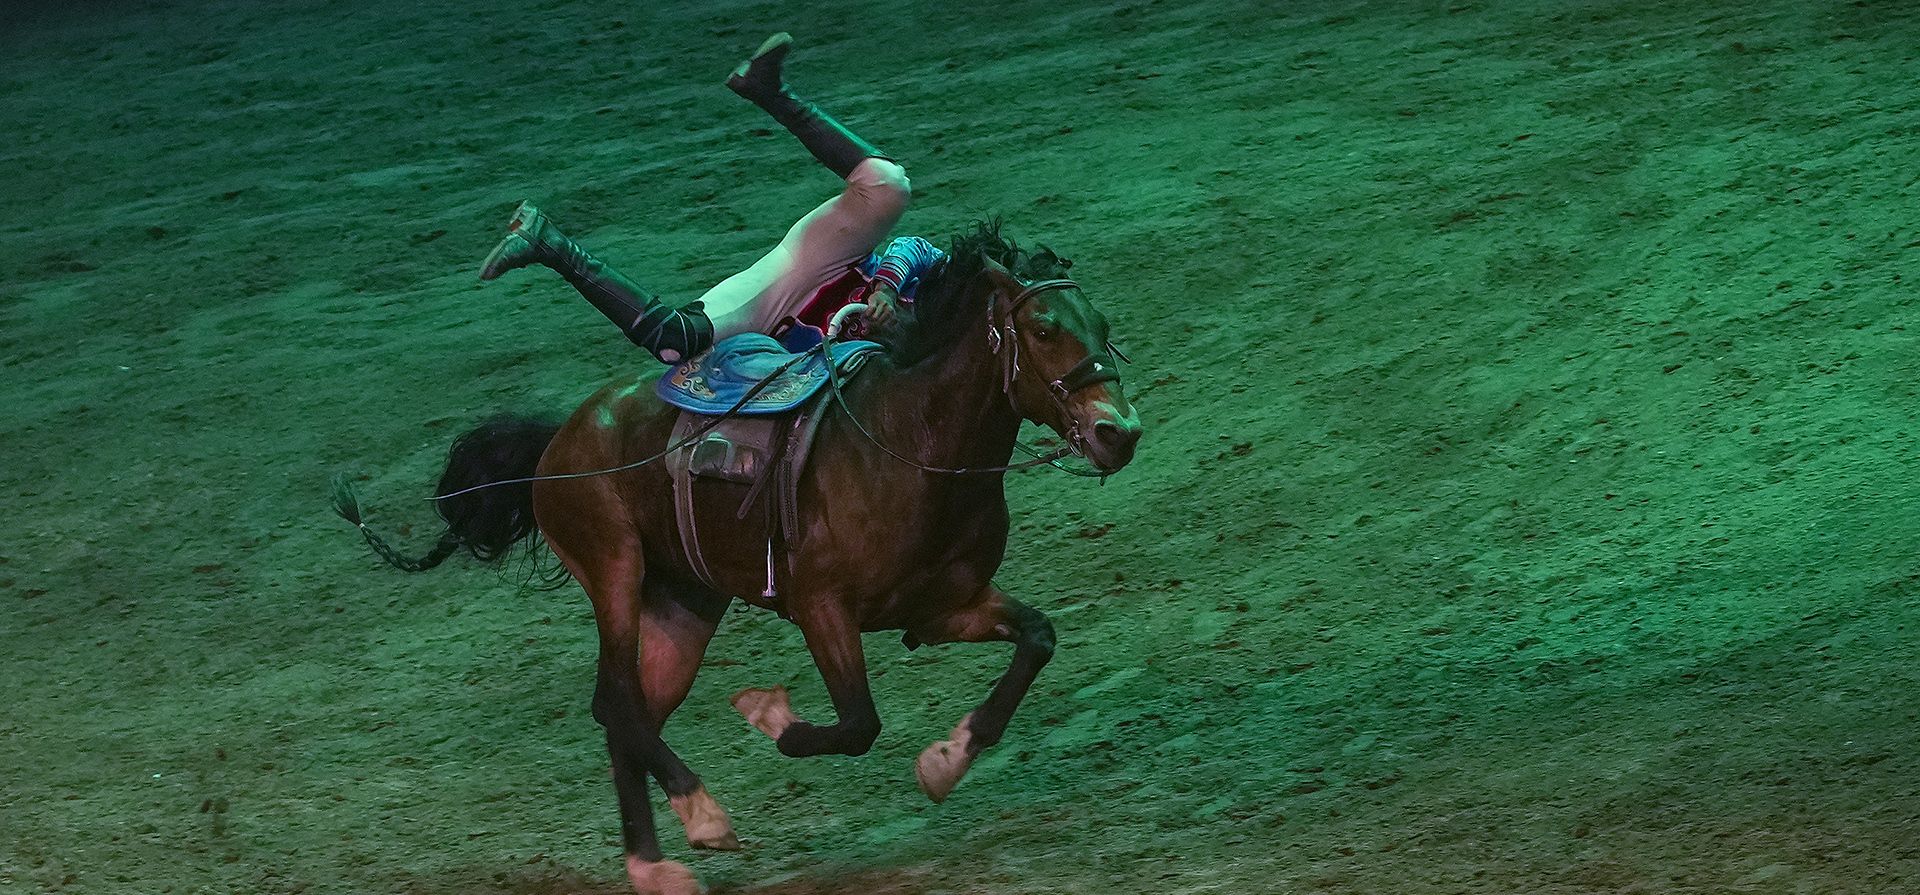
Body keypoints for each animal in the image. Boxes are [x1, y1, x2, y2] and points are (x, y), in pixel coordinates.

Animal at [337, 222, 1142, 895]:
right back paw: (701, 814)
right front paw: (769, 713)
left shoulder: (942, 606)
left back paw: (652, 863)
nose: (1120, 433)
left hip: (684, 607)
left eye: (1104, 328)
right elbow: (857, 723)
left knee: (629, 713)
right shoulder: (822, 608)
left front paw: (946, 761)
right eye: (1043, 328)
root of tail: (555, 442)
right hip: (614, 571)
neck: (908, 444)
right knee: (616, 699)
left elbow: (1037, 639)